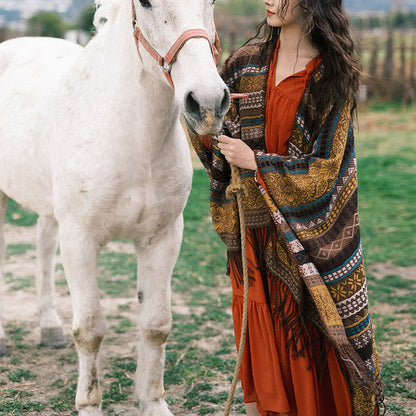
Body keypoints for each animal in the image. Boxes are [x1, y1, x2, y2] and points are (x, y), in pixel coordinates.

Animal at [0, 0, 228, 412]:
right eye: (147, 4)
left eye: (213, 2)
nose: (207, 103)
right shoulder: (80, 241)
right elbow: (90, 329)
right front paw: (89, 405)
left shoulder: (163, 238)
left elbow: (156, 325)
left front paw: (153, 402)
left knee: (42, 252)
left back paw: (50, 328)